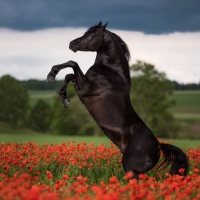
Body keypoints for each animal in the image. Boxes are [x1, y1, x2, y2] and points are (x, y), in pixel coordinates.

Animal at [47, 21, 189, 178]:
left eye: (92, 35)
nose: (71, 44)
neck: (111, 71)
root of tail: (158, 146)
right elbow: (69, 75)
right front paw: (64, 97)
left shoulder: (85, 88)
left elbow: (73, 64)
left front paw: (52, 74)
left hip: (130, 168)